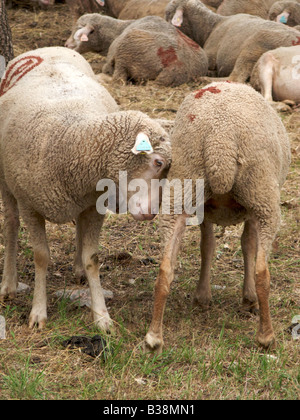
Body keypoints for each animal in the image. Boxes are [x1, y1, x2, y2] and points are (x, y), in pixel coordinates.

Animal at [0, 46, 171, 332]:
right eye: (157, 162)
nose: (150, 214)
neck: (72, 140)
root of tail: (47, 48)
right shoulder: (30, 206)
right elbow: (41, 257)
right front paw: (38, 312)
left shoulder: (93, 204)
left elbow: (93, 258)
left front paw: (101, 316)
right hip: (7, 182)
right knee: (11, 223)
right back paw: (9, 284)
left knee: (78, 225)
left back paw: (78, 268)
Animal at [65, 13, 209, 85]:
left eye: (78, 30)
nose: (66, 45)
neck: (119, 30)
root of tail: (176, 68)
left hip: (125, 52)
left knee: (118, 79)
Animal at [144, 81, 290, 354]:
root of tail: (219, 139)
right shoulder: (251, 213)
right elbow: (248, 245)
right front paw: (248, 298)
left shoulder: (205, 209)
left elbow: (208, 246)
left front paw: (202, 297)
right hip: (262, 194)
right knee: (262, 271)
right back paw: (266, 337)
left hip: (183, 186)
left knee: (165, 269)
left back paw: (153, 338)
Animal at [165, 0, 300, 81]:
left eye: (168, 13)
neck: (211, 26)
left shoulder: (209, 56)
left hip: (257, 44)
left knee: (234, 78)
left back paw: (205, 79)